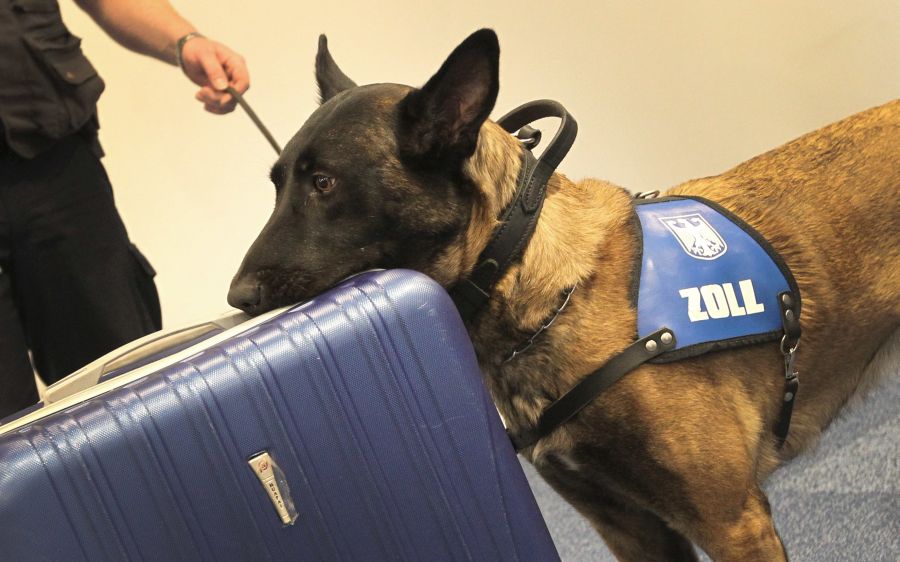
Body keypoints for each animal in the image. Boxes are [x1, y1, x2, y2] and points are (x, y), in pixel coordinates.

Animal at [230, 30, 900, 560]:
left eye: (324, 184)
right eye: (277, 184)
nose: (238, 297)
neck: (544, 298)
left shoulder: (733, 524)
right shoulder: (634, 532)